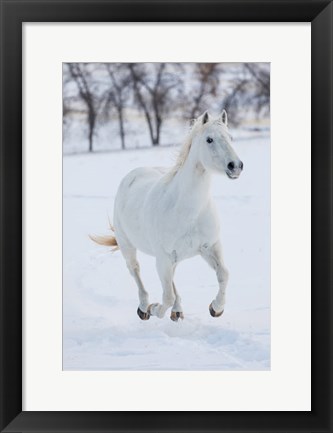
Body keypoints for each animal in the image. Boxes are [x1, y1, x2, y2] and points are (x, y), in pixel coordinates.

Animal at [91, 110, 241, 320]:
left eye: (230, 137)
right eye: (209, 139)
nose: (235, 166)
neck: (189, 211)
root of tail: (132, 175)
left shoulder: (210, 247)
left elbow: (224, 275)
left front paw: (216, 308)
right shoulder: (163, 257)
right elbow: (167, 296)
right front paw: (154, 309)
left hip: (171, 259)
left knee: (171, 283)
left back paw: (177, 311)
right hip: (129, 247)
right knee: (135, 270)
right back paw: (144, 308)